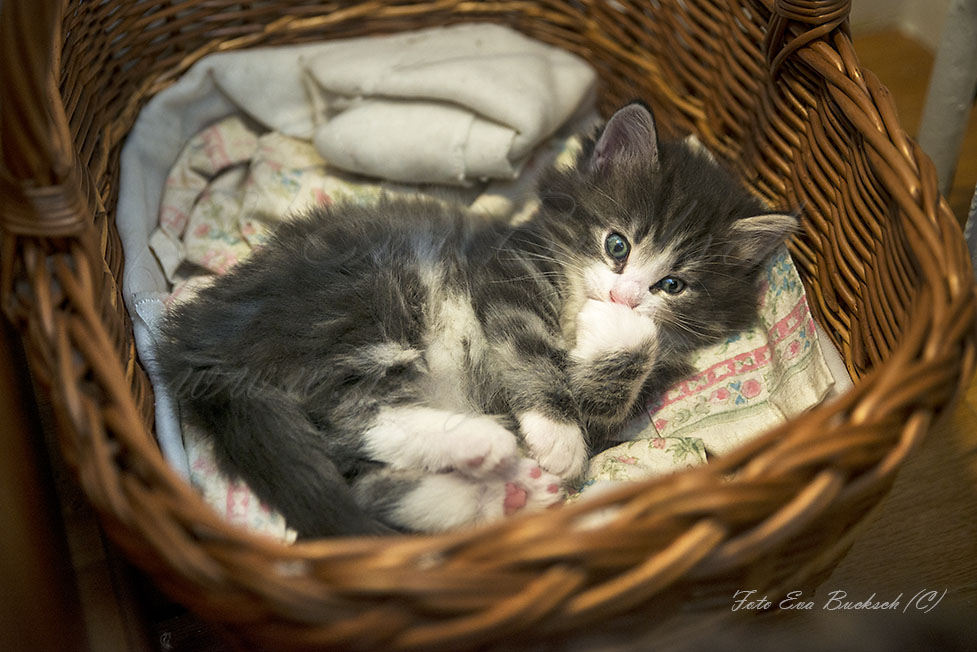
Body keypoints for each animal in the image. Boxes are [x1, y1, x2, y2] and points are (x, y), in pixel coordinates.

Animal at [156, 104, 796, 536]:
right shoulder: (505, 278)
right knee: (349, 415)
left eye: (673, 285)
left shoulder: (629, 395)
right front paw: (559, 439)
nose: (625, 296)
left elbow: (606, 398)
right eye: (617, 244)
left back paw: (497, 497)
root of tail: (192, 340)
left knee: (364, 482)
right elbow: (534, 356)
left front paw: (617, 337)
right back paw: (482, 442)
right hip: (368, 303)